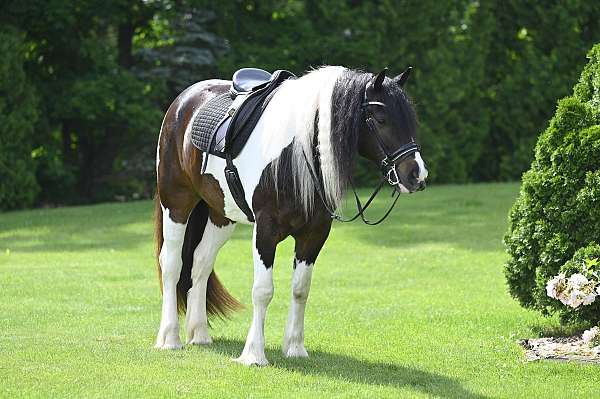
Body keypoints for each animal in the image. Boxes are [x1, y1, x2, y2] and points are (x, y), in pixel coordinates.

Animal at [154, 67, 426, 368]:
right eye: (380, 119)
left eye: (410, 120)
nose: (417, 175)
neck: (297, 155)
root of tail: (183, 101)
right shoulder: (265, 231)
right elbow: (263, 290)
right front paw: (254, 354)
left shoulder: (314, 234)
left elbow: (300, 289)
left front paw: (295, 347)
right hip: (176, 204)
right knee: (172, 263)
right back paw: (170, 338)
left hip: (221, 214)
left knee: (200, 263)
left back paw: (199, 333)